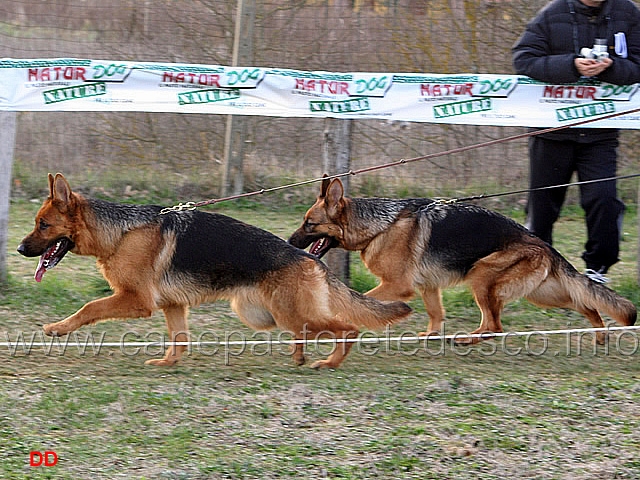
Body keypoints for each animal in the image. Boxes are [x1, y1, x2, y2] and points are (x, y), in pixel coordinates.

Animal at [20, 174, 412, 370]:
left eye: (43, 225)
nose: (21, 249)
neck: (119, 233)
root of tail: (307, 258)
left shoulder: (136, 300)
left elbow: (89, 308)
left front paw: (58, 328)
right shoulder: (172, 306)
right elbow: (179, 338)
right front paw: (168, 362)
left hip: (287, 312)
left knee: (347, 328)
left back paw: (329, 363)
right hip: (266, 315)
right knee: (308, 332)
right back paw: (301, 357)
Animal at [288, 178, 636, 344]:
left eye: (309, 224)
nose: (289, 244)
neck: (379, 226)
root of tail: (542, 243)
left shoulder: (397, 286)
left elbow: (360, 300)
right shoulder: (428, 288)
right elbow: (435, 313)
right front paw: (431, 335)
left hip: (481, 277)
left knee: (495, 326)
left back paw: (469, 339)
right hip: (542, 294)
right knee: (585, 303)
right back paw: (600, 332)